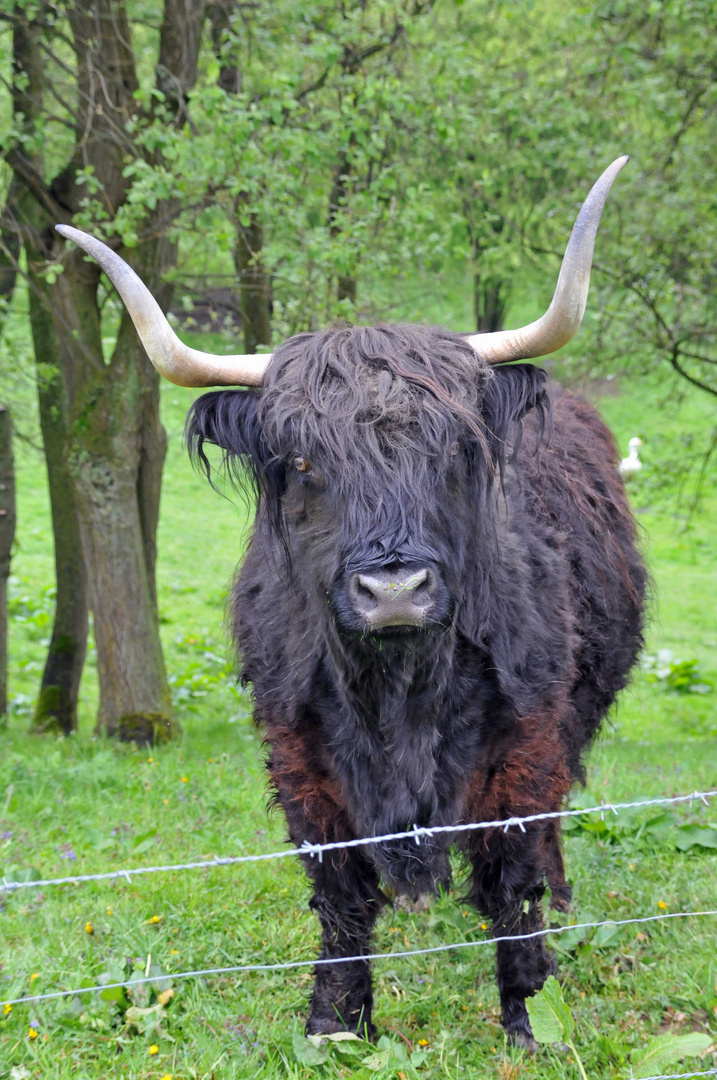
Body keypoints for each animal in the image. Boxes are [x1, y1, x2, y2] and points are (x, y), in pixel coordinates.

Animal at [58, 154, 647, 1045]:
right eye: (301, 461)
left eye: (454, 448)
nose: (393, 588)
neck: (397, 690)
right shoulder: (300, 756)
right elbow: (338, 893)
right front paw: (334, 1022)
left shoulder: (525, 741)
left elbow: (512, 878)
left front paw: (528, 1015)